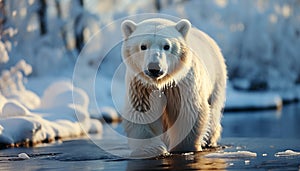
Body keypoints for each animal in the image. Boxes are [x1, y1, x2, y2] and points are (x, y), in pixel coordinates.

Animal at [120, 17, 226, 158]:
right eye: (143, 46)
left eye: (167, 46)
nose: (154, 68)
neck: (161, 82)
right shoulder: (141, 85)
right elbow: (142, 112)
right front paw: (151, 149)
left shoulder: (182, 83)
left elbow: (188, 112)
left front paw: (183, 148)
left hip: (217, 77)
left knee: (213, 109)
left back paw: (208, 141)